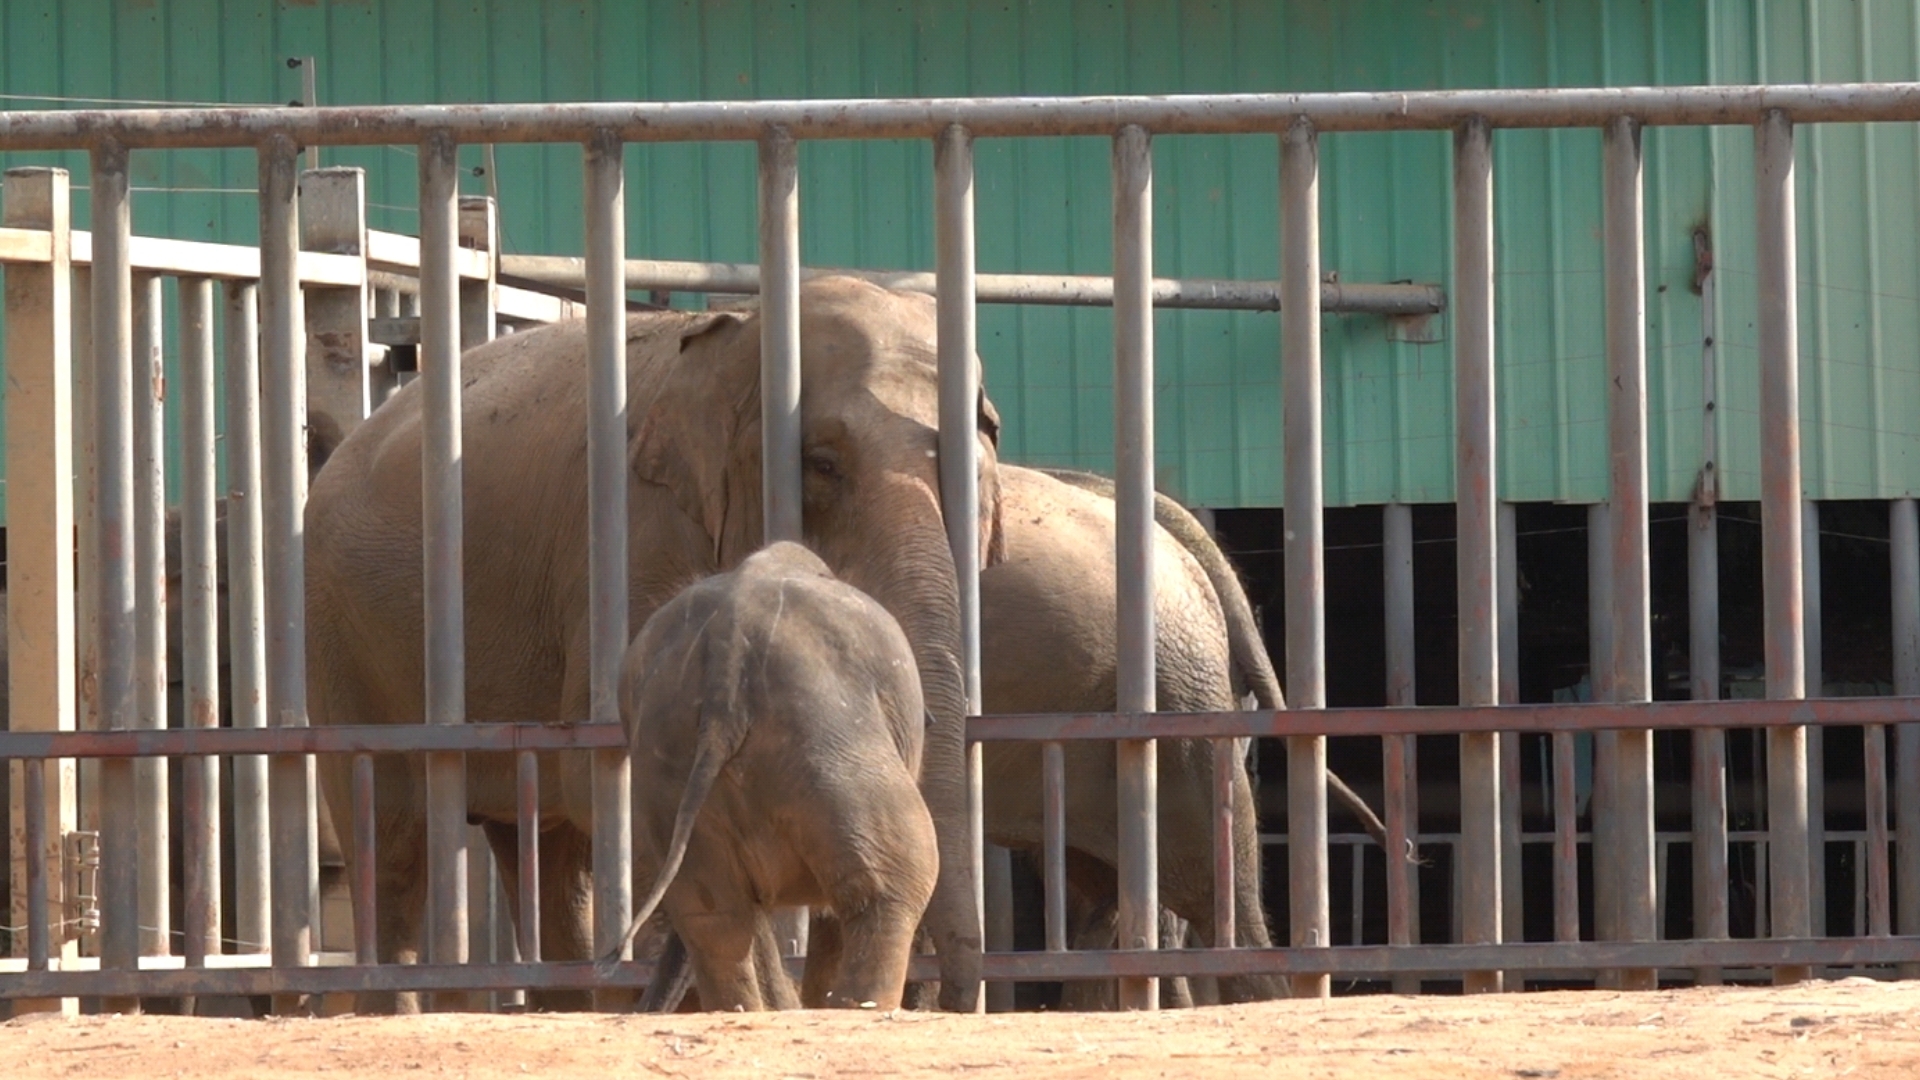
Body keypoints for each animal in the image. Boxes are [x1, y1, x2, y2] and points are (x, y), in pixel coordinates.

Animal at [602, 538, 940, 1006]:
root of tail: (725, 664)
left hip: (668, 771)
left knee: (715, 917)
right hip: (827, 739)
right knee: (890, 883)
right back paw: (856, 1008)